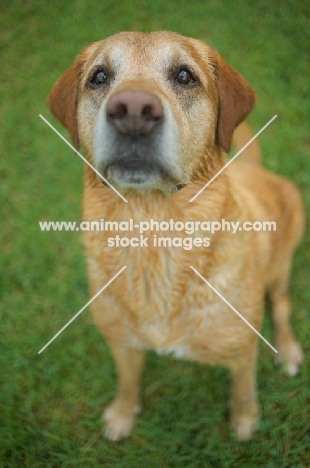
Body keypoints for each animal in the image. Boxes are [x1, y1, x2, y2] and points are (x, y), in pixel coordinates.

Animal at [47, 31, 304, 440]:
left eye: (184, 76)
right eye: (99, 77)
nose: (133, 110)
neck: (153, 233)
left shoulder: (242, 350)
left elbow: (244, 388)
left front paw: (245, 420)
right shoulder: (121, 342)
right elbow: (128, 382)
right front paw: (123, 414)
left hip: (281, 265)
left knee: (280, 305)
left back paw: (289, 349)